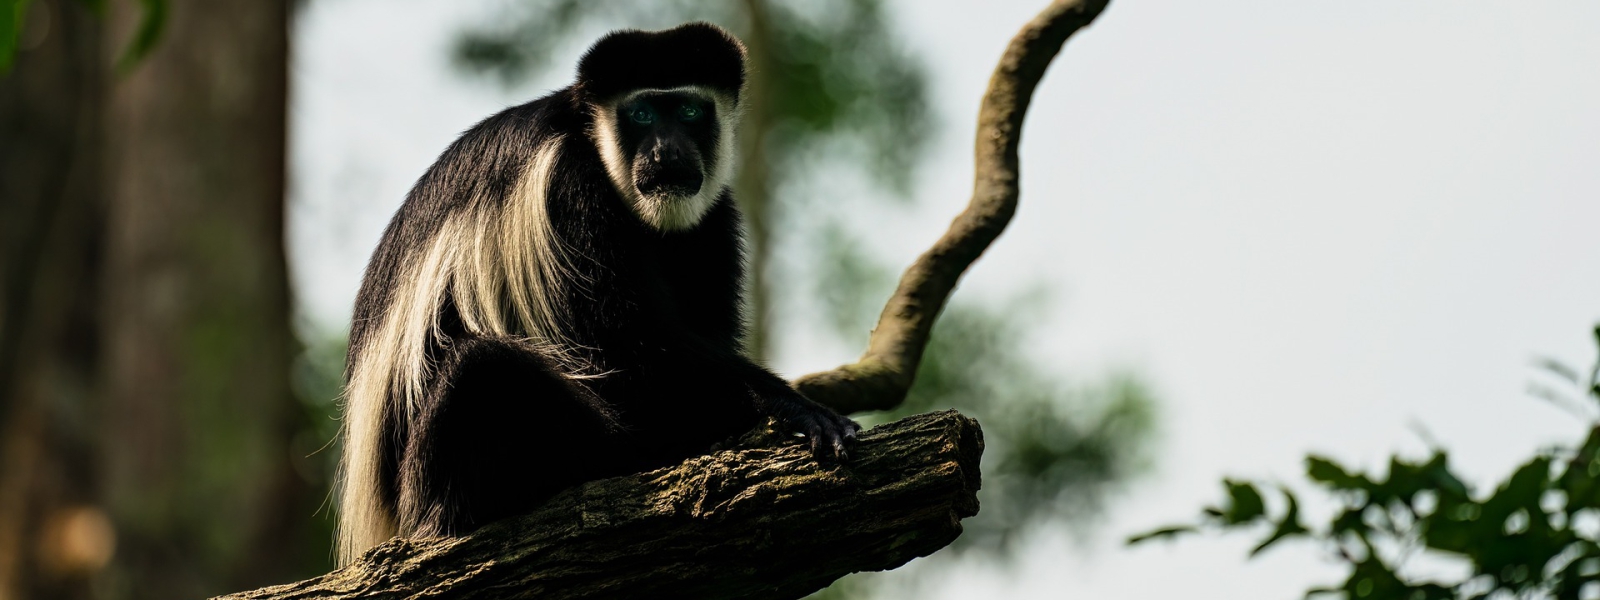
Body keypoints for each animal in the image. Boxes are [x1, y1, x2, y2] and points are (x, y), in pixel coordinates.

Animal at [335, 22, 860, 565]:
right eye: (643, 114)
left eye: (690, 111)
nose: (666, 152)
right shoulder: (567, 187)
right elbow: (625, 339)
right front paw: (793, 408)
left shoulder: (713, 217)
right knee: (481, 368)